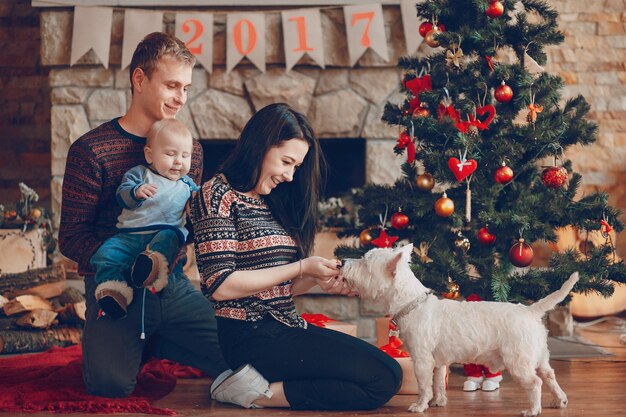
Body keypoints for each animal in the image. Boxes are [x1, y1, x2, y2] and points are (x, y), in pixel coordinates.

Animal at [338, 242, 576, 414]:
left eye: (365, 262)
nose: (341, 262)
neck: (412, 302)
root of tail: (530, 311)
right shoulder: (438, 361)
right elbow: (437, 383)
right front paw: (438, 402)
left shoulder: (422, 359)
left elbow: (423, 385)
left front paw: (420, 405)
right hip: (539, 356)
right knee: (550, 375)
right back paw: (560, 400)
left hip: (518, 361)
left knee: (536, 382)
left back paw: (533, 410)